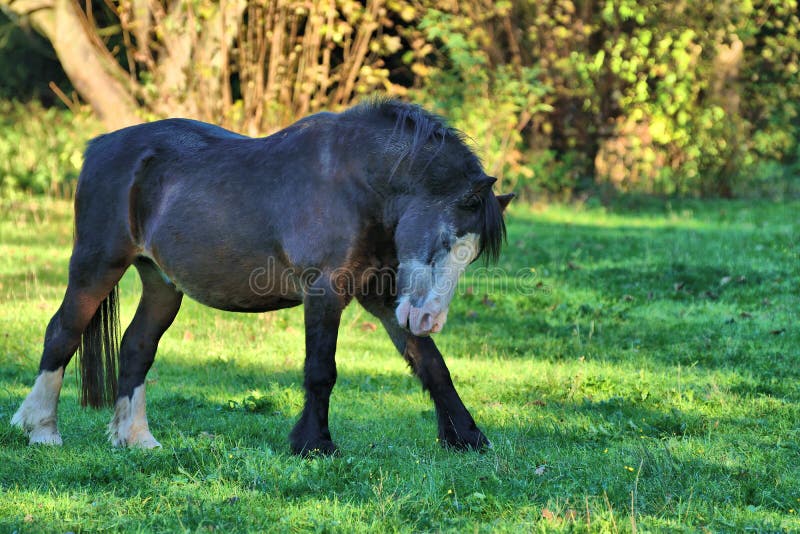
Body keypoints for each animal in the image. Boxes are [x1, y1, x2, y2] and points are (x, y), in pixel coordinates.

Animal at [10, 100, 512, 456]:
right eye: (446, 240)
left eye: (470, 256)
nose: (428, 319)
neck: (355, 182)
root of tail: (98, 147)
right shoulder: (325, 291)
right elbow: (321, 370)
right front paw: (314, 443)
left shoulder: (381, 295)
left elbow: (431, 364)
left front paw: (467, 437)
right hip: (95, 266)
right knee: (62, 333)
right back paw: (41, 429)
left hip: (161, 284)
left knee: (135, 347)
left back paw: (136, 439)